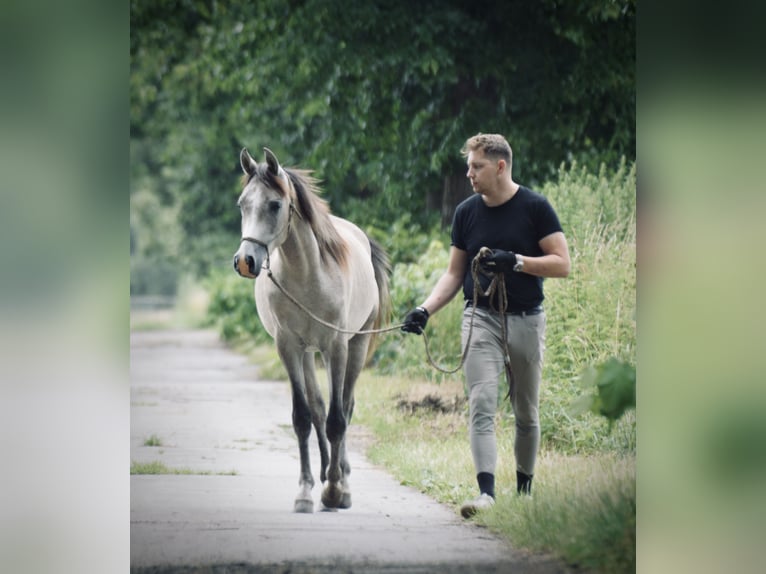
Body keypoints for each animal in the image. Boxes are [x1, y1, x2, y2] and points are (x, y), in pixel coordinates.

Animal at [232, 146, 390, 516]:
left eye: (275, 205)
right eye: (242, 204)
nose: (245, 261)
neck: (308, 275)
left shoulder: (337, 347)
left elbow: (338, 420)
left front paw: (334, 490)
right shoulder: (288, 347)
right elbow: (304, 418)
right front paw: (305, 491)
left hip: (352, 349)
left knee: (345, 406)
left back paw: (342, 481)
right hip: (307, 353)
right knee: (319, 408)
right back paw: (323, 472)